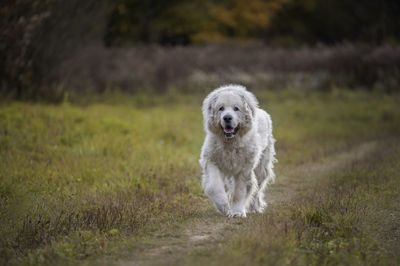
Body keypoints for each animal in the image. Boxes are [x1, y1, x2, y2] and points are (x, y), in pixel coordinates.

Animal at [199, 85, 276, 218]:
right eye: (221, 108)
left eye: (236, 108)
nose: (227, 117)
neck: (230, 143)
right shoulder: (211, 162)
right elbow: (214, 186)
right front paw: (223, 206)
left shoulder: (244, 169)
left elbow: (240, 191)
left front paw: (237, 212)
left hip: (261, 169)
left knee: (257, 188)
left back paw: (254, 207)